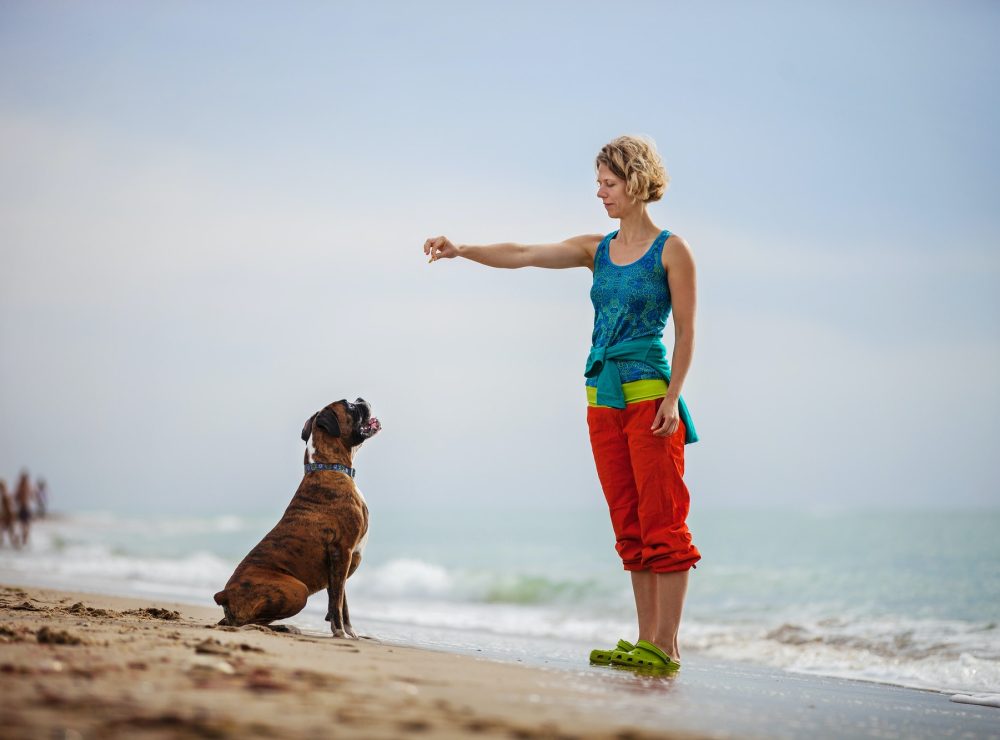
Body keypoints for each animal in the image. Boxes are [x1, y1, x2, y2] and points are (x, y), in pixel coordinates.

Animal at [213, 398, 380, 636]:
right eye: (349, 406)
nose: (360, 399)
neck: (329, 466)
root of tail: (224, 593)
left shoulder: (341, 564)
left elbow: (341, 601)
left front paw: (350, 633)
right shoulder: (342, 552)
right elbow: (337, 602)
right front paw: (340, 633)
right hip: (298, 589)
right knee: (246, 622)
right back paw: (284, 627)